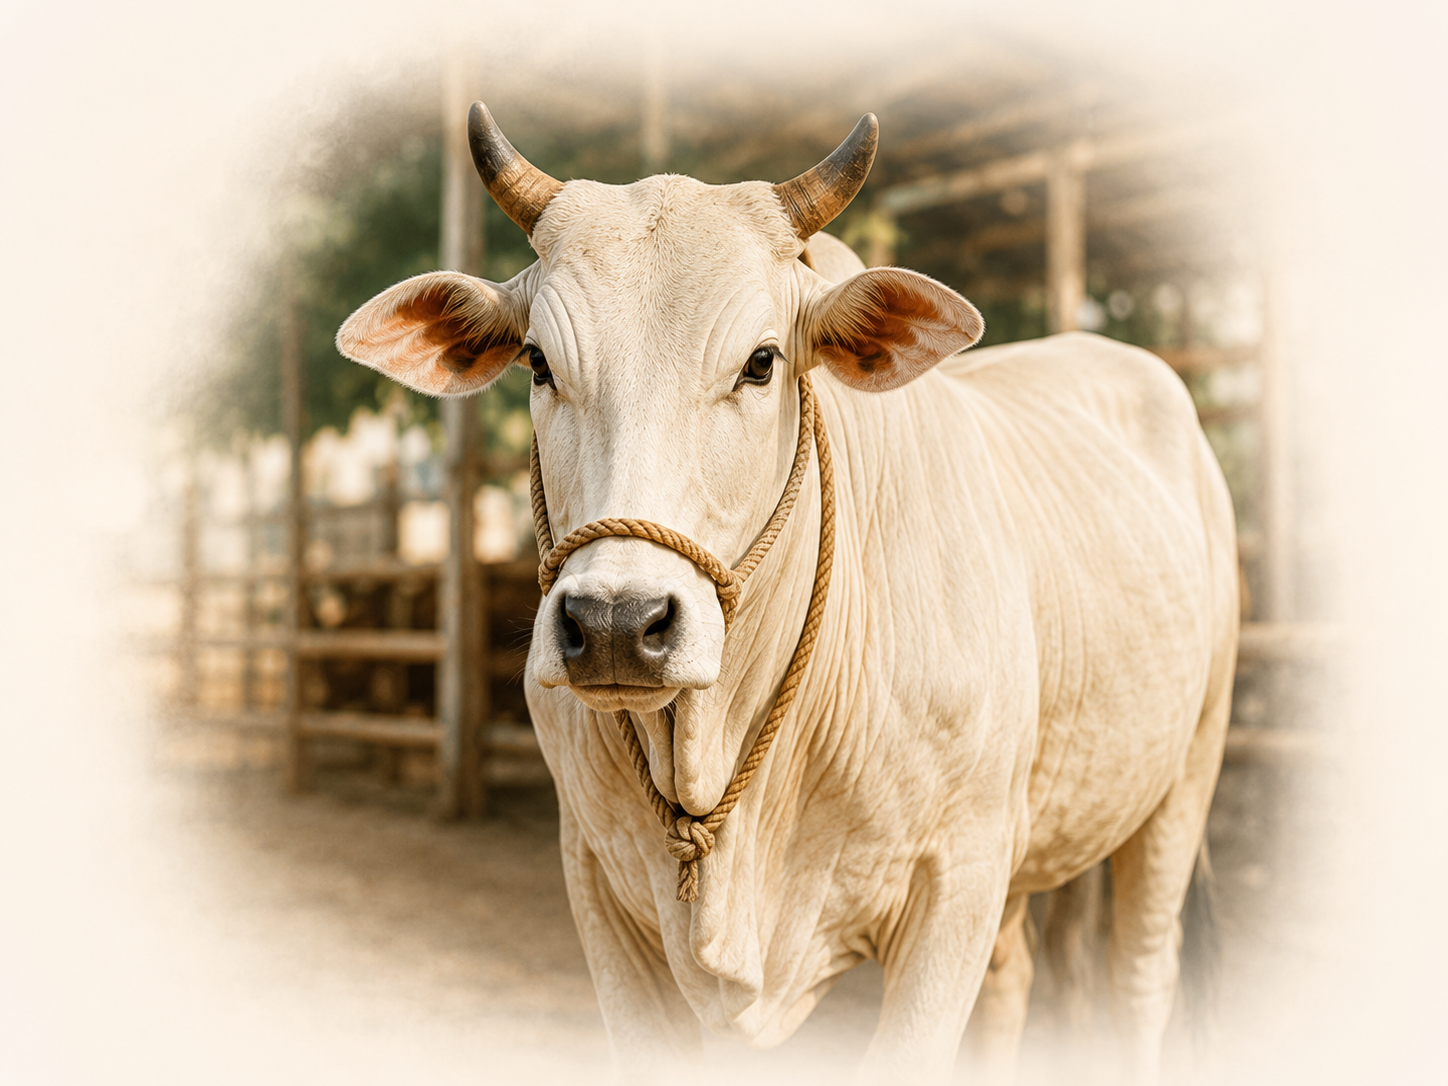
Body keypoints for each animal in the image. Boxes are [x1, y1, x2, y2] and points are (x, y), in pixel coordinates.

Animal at [335, 104, 1238, 1083]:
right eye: (537, 362)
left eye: (762, 362)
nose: (615, 622)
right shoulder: (598, 888)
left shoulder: (955, 882)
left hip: (1183, 775)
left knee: (1139, 975)